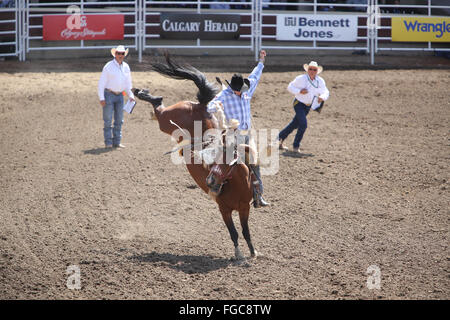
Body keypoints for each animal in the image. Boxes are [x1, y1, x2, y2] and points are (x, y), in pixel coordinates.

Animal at [134, 53, 256, 260]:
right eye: (213, 159)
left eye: (229, 161)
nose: (210, 180)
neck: (235, 184)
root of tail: (201, 105)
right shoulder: (224, 210)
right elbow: (234, 233)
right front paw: (239, 255)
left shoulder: (244, 208)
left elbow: (246, 232)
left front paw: (254, 252)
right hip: (167, 120)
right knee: (159, 107)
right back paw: (141, 93)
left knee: (159, 107)